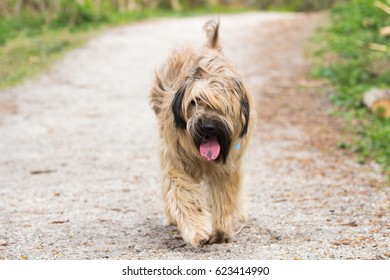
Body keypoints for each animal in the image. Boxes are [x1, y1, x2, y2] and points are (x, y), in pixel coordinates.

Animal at [149, 18, 253, 247]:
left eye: (222, 105)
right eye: (194, 102)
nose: (208, 126)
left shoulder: (228, 167)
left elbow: (225, 195)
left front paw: (221, 229)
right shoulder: (176, 161)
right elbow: (181, 192)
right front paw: (197, 229)